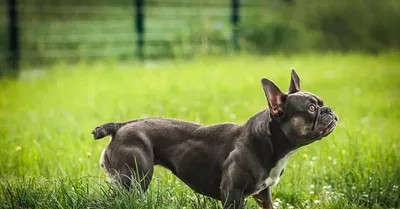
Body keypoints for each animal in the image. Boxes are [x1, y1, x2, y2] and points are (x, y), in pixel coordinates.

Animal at [91, 70, 338, 209]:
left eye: (321, 103)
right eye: (311, 108)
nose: (329, 109)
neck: (269, 142)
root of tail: (120, 127)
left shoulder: (263, 195)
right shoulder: (233, 195)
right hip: (135, 179)